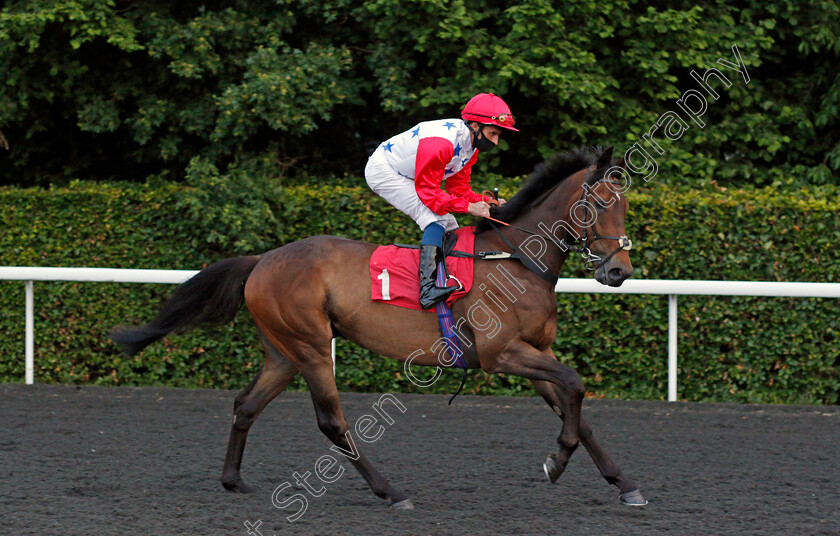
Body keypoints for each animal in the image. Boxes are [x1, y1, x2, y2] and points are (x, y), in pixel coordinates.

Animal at [110, 144, 648, 508]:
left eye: (626, 205)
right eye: (601, 204)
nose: (618, 272)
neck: (517, 260)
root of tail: (263, 259)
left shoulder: (536, 352)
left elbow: (576, 406)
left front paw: (624, 484)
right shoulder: (503, 354)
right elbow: (575, 387)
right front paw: (557, 462)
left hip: (283, 352)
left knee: (246, 405)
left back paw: (233, 479)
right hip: (310, 345)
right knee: (332, 421)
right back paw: (390, 491)